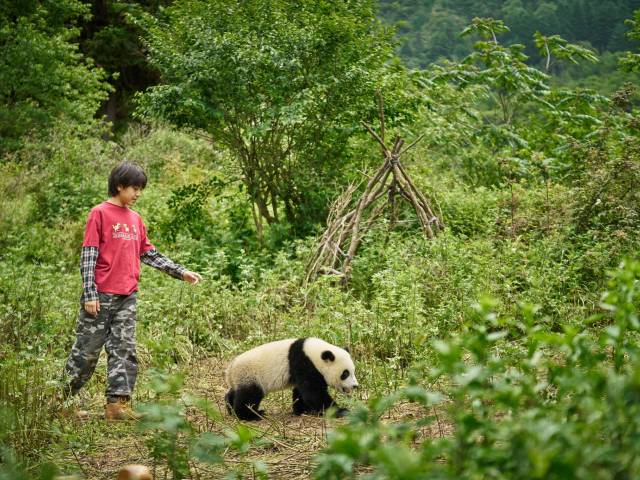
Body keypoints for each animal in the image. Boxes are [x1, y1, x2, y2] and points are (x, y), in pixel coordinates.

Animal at [224, 337, 358, 421]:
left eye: (353, 371)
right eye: (345, 374)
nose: (355, 386)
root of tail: (230, 370)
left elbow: (301, 391)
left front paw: (303, 410)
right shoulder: (303, 362)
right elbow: (314, 392)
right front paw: (341, 411)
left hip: (241, 378)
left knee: (236, 392)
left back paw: (230, 407)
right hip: (250, 375)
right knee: (249, 396)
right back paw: (250, 415)